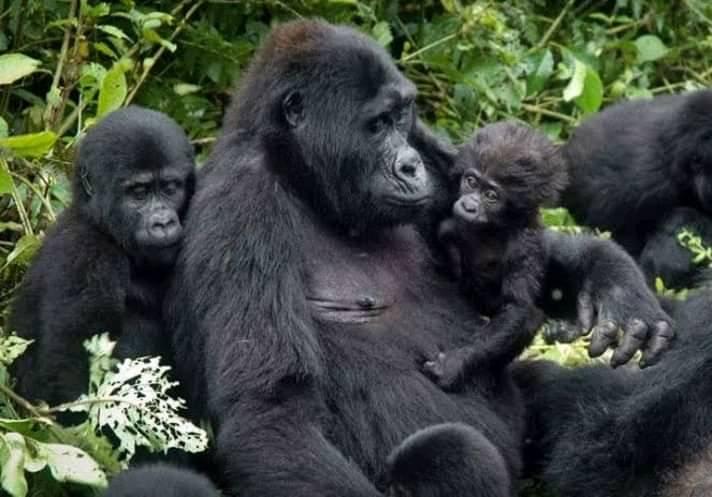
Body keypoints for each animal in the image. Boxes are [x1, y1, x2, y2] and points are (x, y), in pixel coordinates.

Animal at [11, 104, 195, 404]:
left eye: (170, 188)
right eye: (139, 193)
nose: (163, 223)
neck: (102, 228)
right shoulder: (86, 255)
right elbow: (74, 365)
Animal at [422, 122, 568, 390]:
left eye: (491, 195)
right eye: (470, 181)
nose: (468, 205)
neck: (497, 224)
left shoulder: (525, 244)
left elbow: (516, 308)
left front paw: (455, 362)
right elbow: (443, 158)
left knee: (530, 317)